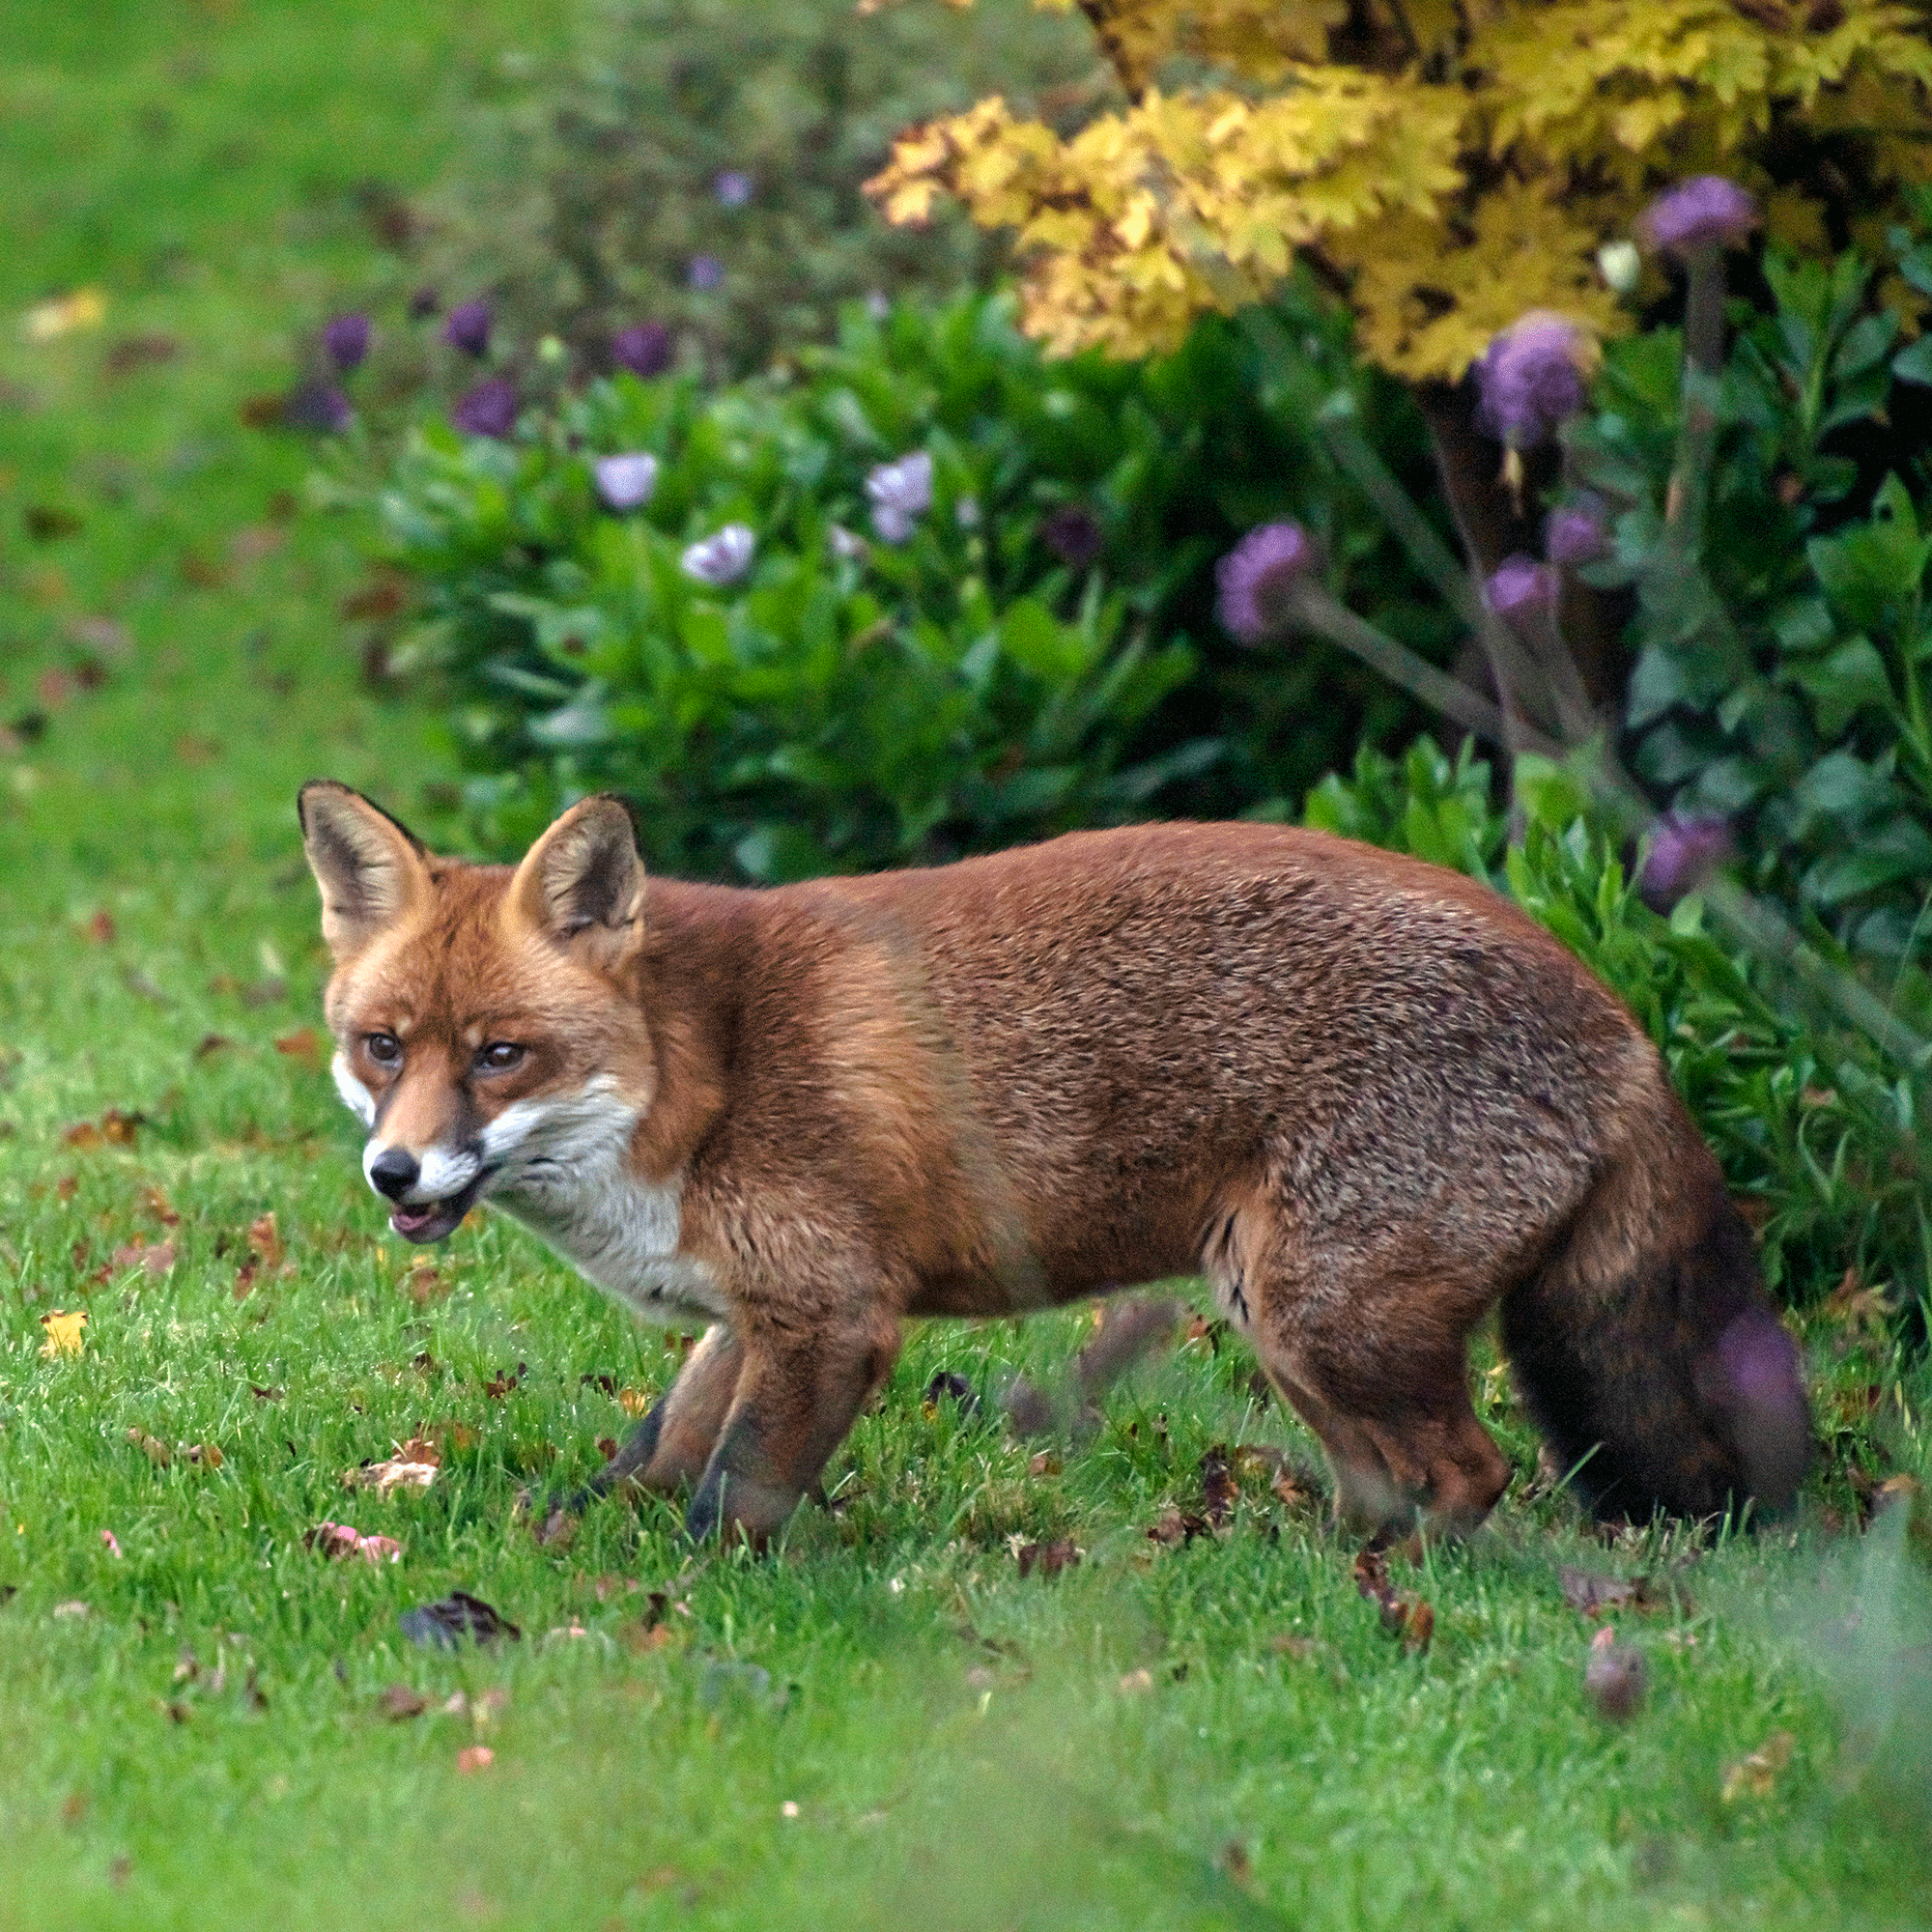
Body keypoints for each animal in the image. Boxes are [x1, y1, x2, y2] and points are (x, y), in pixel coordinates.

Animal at [297, 779, 1809, 1545]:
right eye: (382, 1045)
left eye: (501, 1055)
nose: (397, 1174)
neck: (695, 1075)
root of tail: (1622, 1018)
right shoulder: (756, 1306)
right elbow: (661, 1449)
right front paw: (580, 1547)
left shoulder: (836, 1315)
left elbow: (732, 1496)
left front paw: (696, 1609)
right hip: (1286, 1319)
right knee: (1392, 1476)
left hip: (1330, 1314)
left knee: (1468, 1475)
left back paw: (1368, 1610)